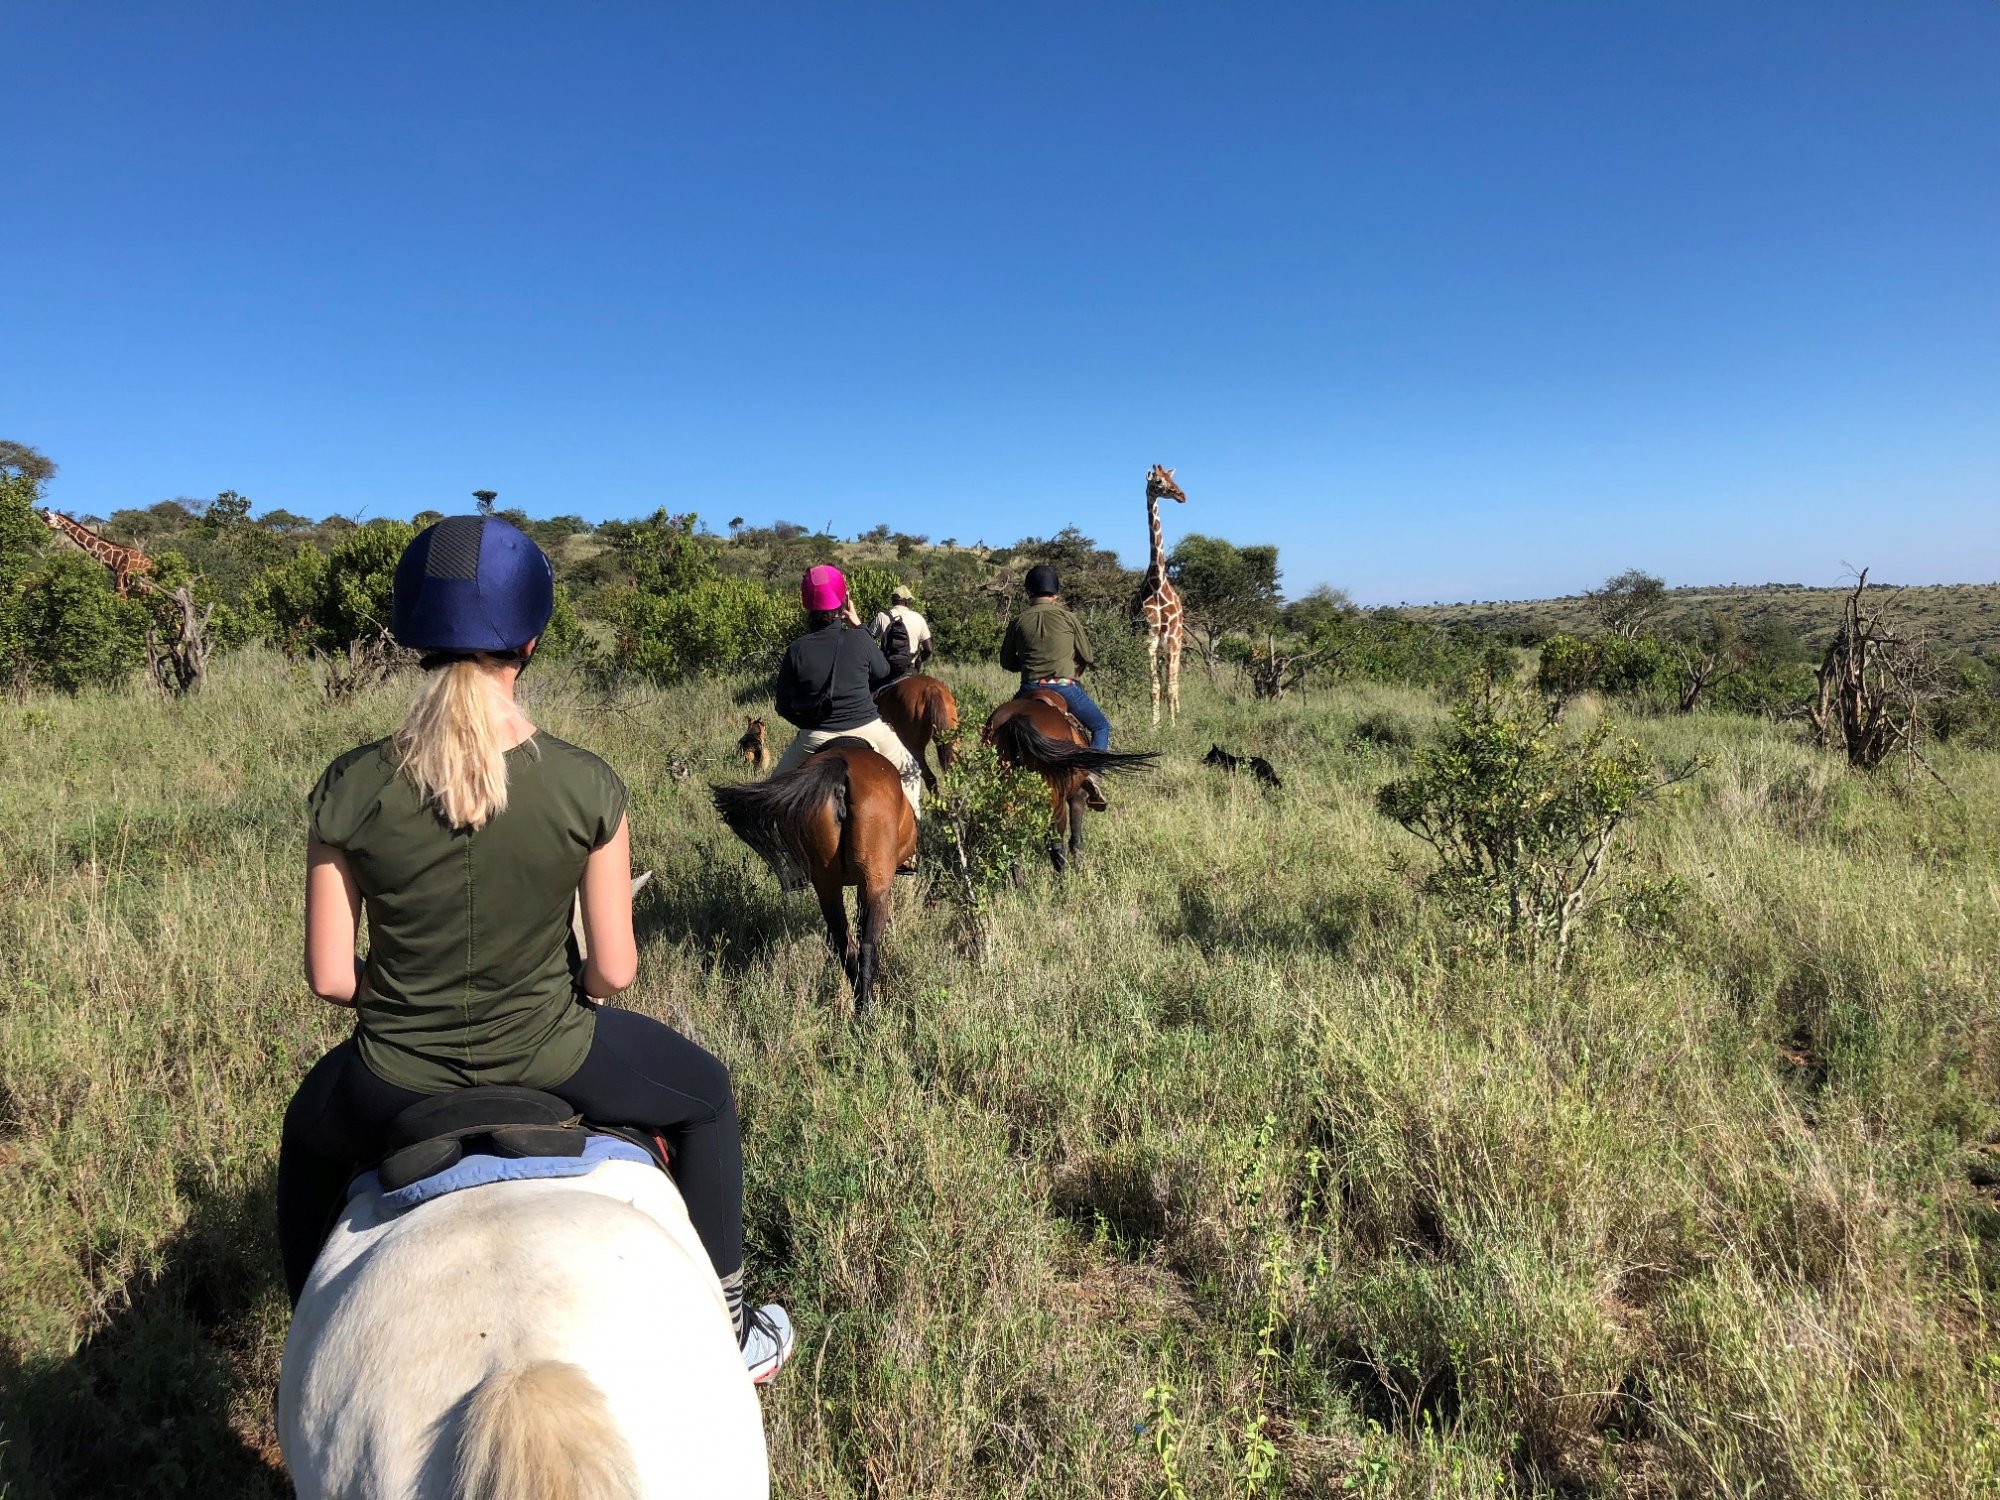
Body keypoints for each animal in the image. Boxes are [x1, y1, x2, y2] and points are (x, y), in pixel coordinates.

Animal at [712, 739, 915, 1015]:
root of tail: (843, 769)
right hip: (876, 883)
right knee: (867, 947)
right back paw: (867, 1010)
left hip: (827, 886)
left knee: (845, 945)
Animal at [982, 690, 1157, 869]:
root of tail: (1016, 720)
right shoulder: (1078, 797)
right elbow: (1076, 839)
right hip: (1056, 804)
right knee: (1057, 849)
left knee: (1011, 847)